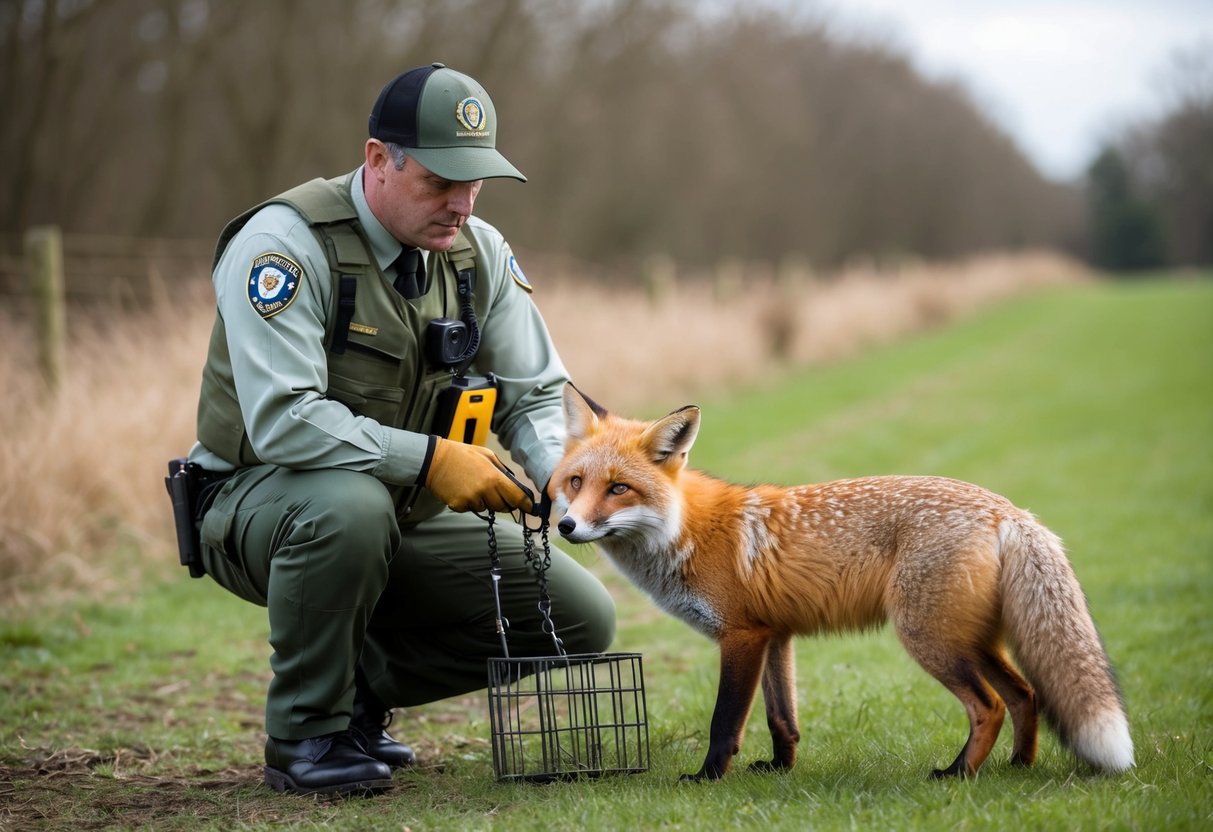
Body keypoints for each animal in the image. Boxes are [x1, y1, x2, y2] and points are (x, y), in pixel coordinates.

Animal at [551, 384, 1133, 781]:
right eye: (575, 483)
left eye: (619, 489)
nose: (566, 527)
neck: (686, 531)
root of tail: (1009, 510)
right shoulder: (774, 635)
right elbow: (781, 719)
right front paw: (780, 770)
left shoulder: (740, 637)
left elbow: (724, 722)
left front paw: (707, 778)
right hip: (972, 639)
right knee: (1026, 695)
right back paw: (1015, 768)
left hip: (930, 637)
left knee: (988, 705)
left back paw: (957, 774)